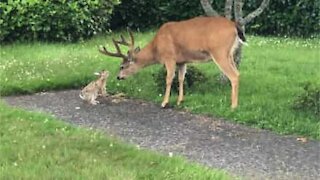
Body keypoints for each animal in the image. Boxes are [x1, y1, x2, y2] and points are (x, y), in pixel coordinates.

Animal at [99, 15, 246, 108]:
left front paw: (164, 102)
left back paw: (233, 106)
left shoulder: (169, 57)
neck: (157, 48)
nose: (118, 77)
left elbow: (169, 78)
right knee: (238, 73)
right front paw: (180, 101)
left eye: (122, 66)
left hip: (219, 51)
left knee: (234, 75)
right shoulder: (182, 61)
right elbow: (181, 78)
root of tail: (234, 26)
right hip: (229, 54)